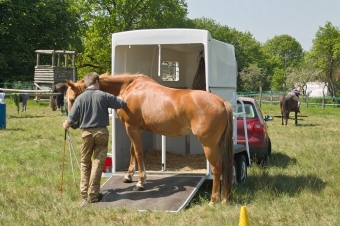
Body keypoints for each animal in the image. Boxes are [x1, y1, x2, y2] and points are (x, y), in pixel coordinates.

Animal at [64, 73, 234, 204]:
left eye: (72, 99)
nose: (73, 123)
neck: (129, 88)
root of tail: (222, 102)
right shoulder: (134, 129)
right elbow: (132, 150)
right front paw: (128, 176)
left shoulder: (132, 128)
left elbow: (139, 153)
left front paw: (140, 182)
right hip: (218, 144)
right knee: (224, 167)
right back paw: (224, 198)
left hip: (209, 145)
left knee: (217, 168)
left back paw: (213, 200)